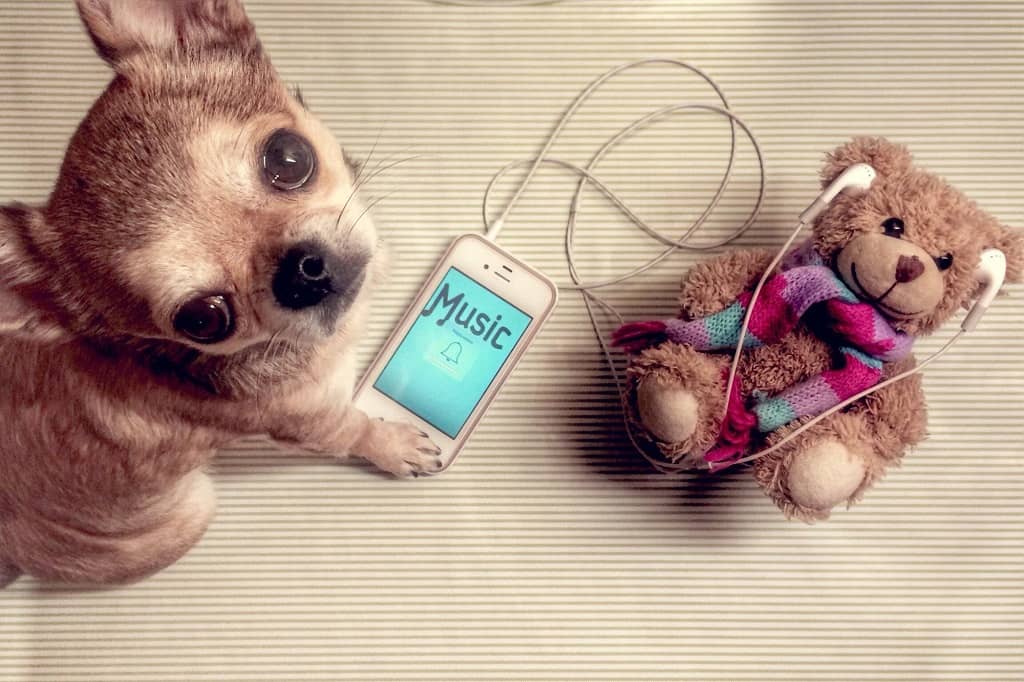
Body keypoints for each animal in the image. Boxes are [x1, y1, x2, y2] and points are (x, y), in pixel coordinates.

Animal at [0, 0, 440, 585]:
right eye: (203, 320)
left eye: (289, 157)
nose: (304, 271)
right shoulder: (310, 423)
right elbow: (353, 429)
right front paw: (393, 444)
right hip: (194, 512)